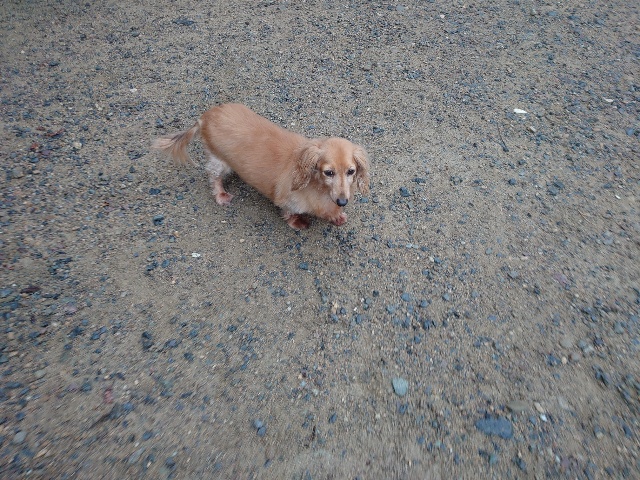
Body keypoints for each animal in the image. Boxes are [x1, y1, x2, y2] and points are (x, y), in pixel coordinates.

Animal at [152, 103, 369, 229]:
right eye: (328, 172)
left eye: (351, 171)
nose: (342, 202)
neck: (318, 188)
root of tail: (205, 117)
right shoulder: (288, 201)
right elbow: (289, 212)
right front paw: (297, 222)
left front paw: (337, 216)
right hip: (218, 161)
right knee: (213, 176)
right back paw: (221, 195)